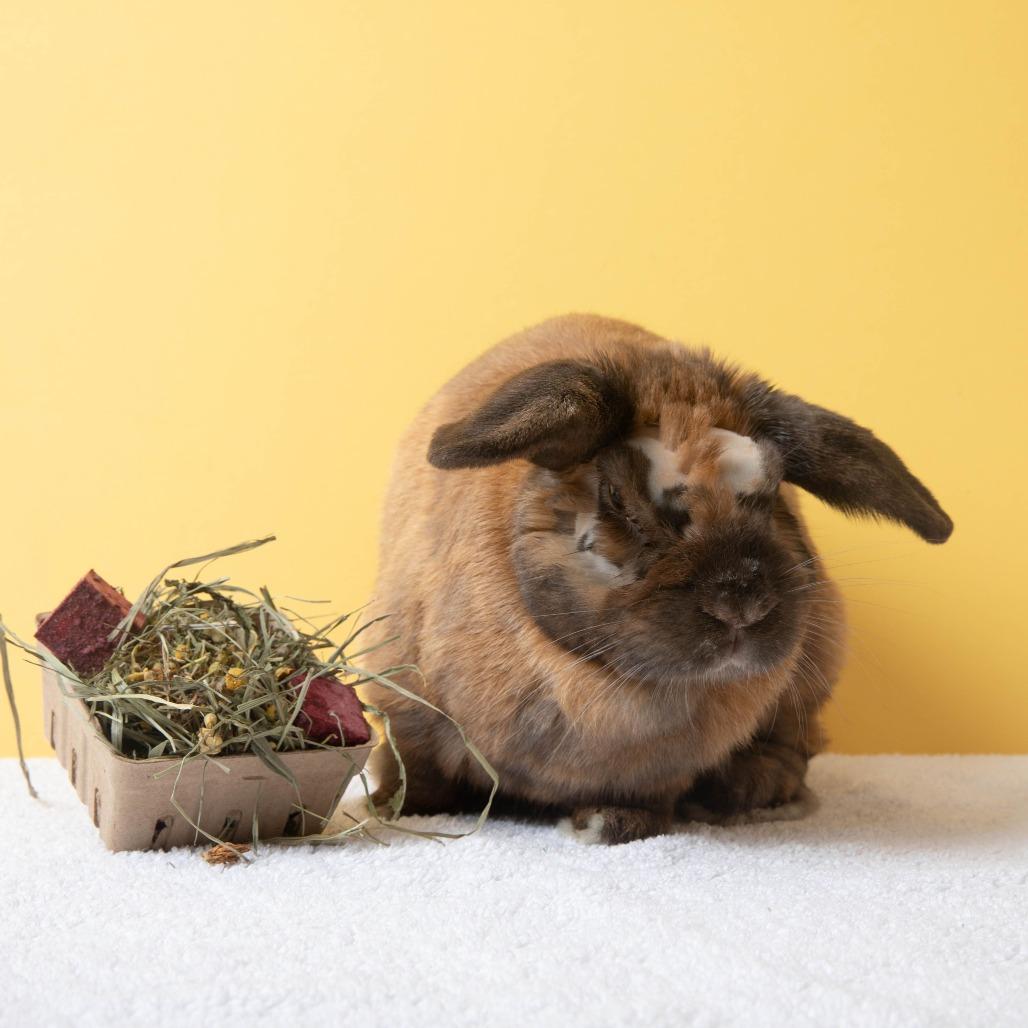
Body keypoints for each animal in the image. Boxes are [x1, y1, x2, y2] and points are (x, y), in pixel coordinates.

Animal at [361, 314, 952, 844]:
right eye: (617, 497)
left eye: (774, 493)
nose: (742, 603)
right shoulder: (404, 705)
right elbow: (411, 764)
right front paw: (390, 806)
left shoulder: (657, 769)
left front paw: (610, 824)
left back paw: (751, 794)